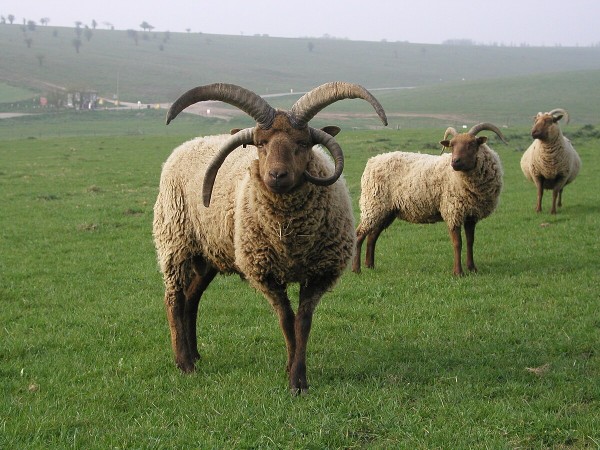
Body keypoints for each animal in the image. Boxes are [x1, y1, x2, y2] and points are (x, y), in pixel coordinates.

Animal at [152, 81, 386, 394]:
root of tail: (185, 145)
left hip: (209, 253)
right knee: (174, 299)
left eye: (303, 143)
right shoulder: (266, 272)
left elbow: (303, 323)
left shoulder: (320, 272)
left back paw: (195, 354)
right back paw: (185, 363)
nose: (277, 175)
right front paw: (294, 377)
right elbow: (287, 321)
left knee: (192, 298)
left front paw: (297, 375)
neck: (291, 238)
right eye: (260, 144)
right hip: (175, 242)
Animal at [352, 124, 506, 278]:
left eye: (472, 144)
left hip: (386, 210)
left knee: (372, 236)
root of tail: (373, 160)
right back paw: (356, 269)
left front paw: (472, 268)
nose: (455, 162)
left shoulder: (471, 215)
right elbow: (457, 243)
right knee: (359, 235)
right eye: (452, 145)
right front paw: (458, 272)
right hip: (373, 204)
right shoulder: (452, 211)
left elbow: (470, 242)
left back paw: (370, 265)